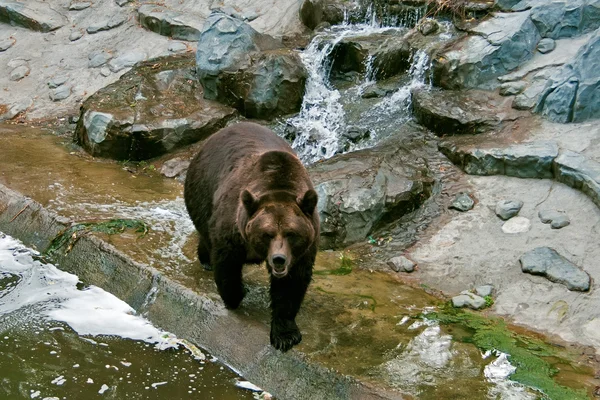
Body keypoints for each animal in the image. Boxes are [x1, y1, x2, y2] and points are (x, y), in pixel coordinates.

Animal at [185, 121, 322, 350]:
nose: (278, 259)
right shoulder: (232, 229)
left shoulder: (303, 249)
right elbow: (227, 264)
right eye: (267, 233)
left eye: (291, 233)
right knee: (206, 231)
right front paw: (236, 295)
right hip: (203, 190)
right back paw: (206, 260)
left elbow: (291, 285)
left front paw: (285, 335)